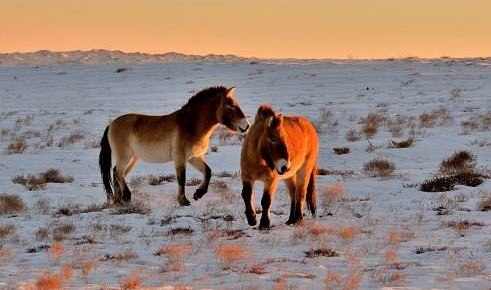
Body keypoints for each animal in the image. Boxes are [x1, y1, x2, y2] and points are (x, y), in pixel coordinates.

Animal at [99, 86, 250, 206]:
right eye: (230, 105)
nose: (246, 126)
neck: (191, 125)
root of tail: (111, 125)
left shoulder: (193, 157)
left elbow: (208, 172)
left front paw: (198, 194)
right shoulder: (180, 158)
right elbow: (181, 179)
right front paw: (183, 201)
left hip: (132, 159)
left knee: (117, 173)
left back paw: (118, 201)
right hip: (126, 157)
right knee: (118, 172)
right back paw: (126, 197)